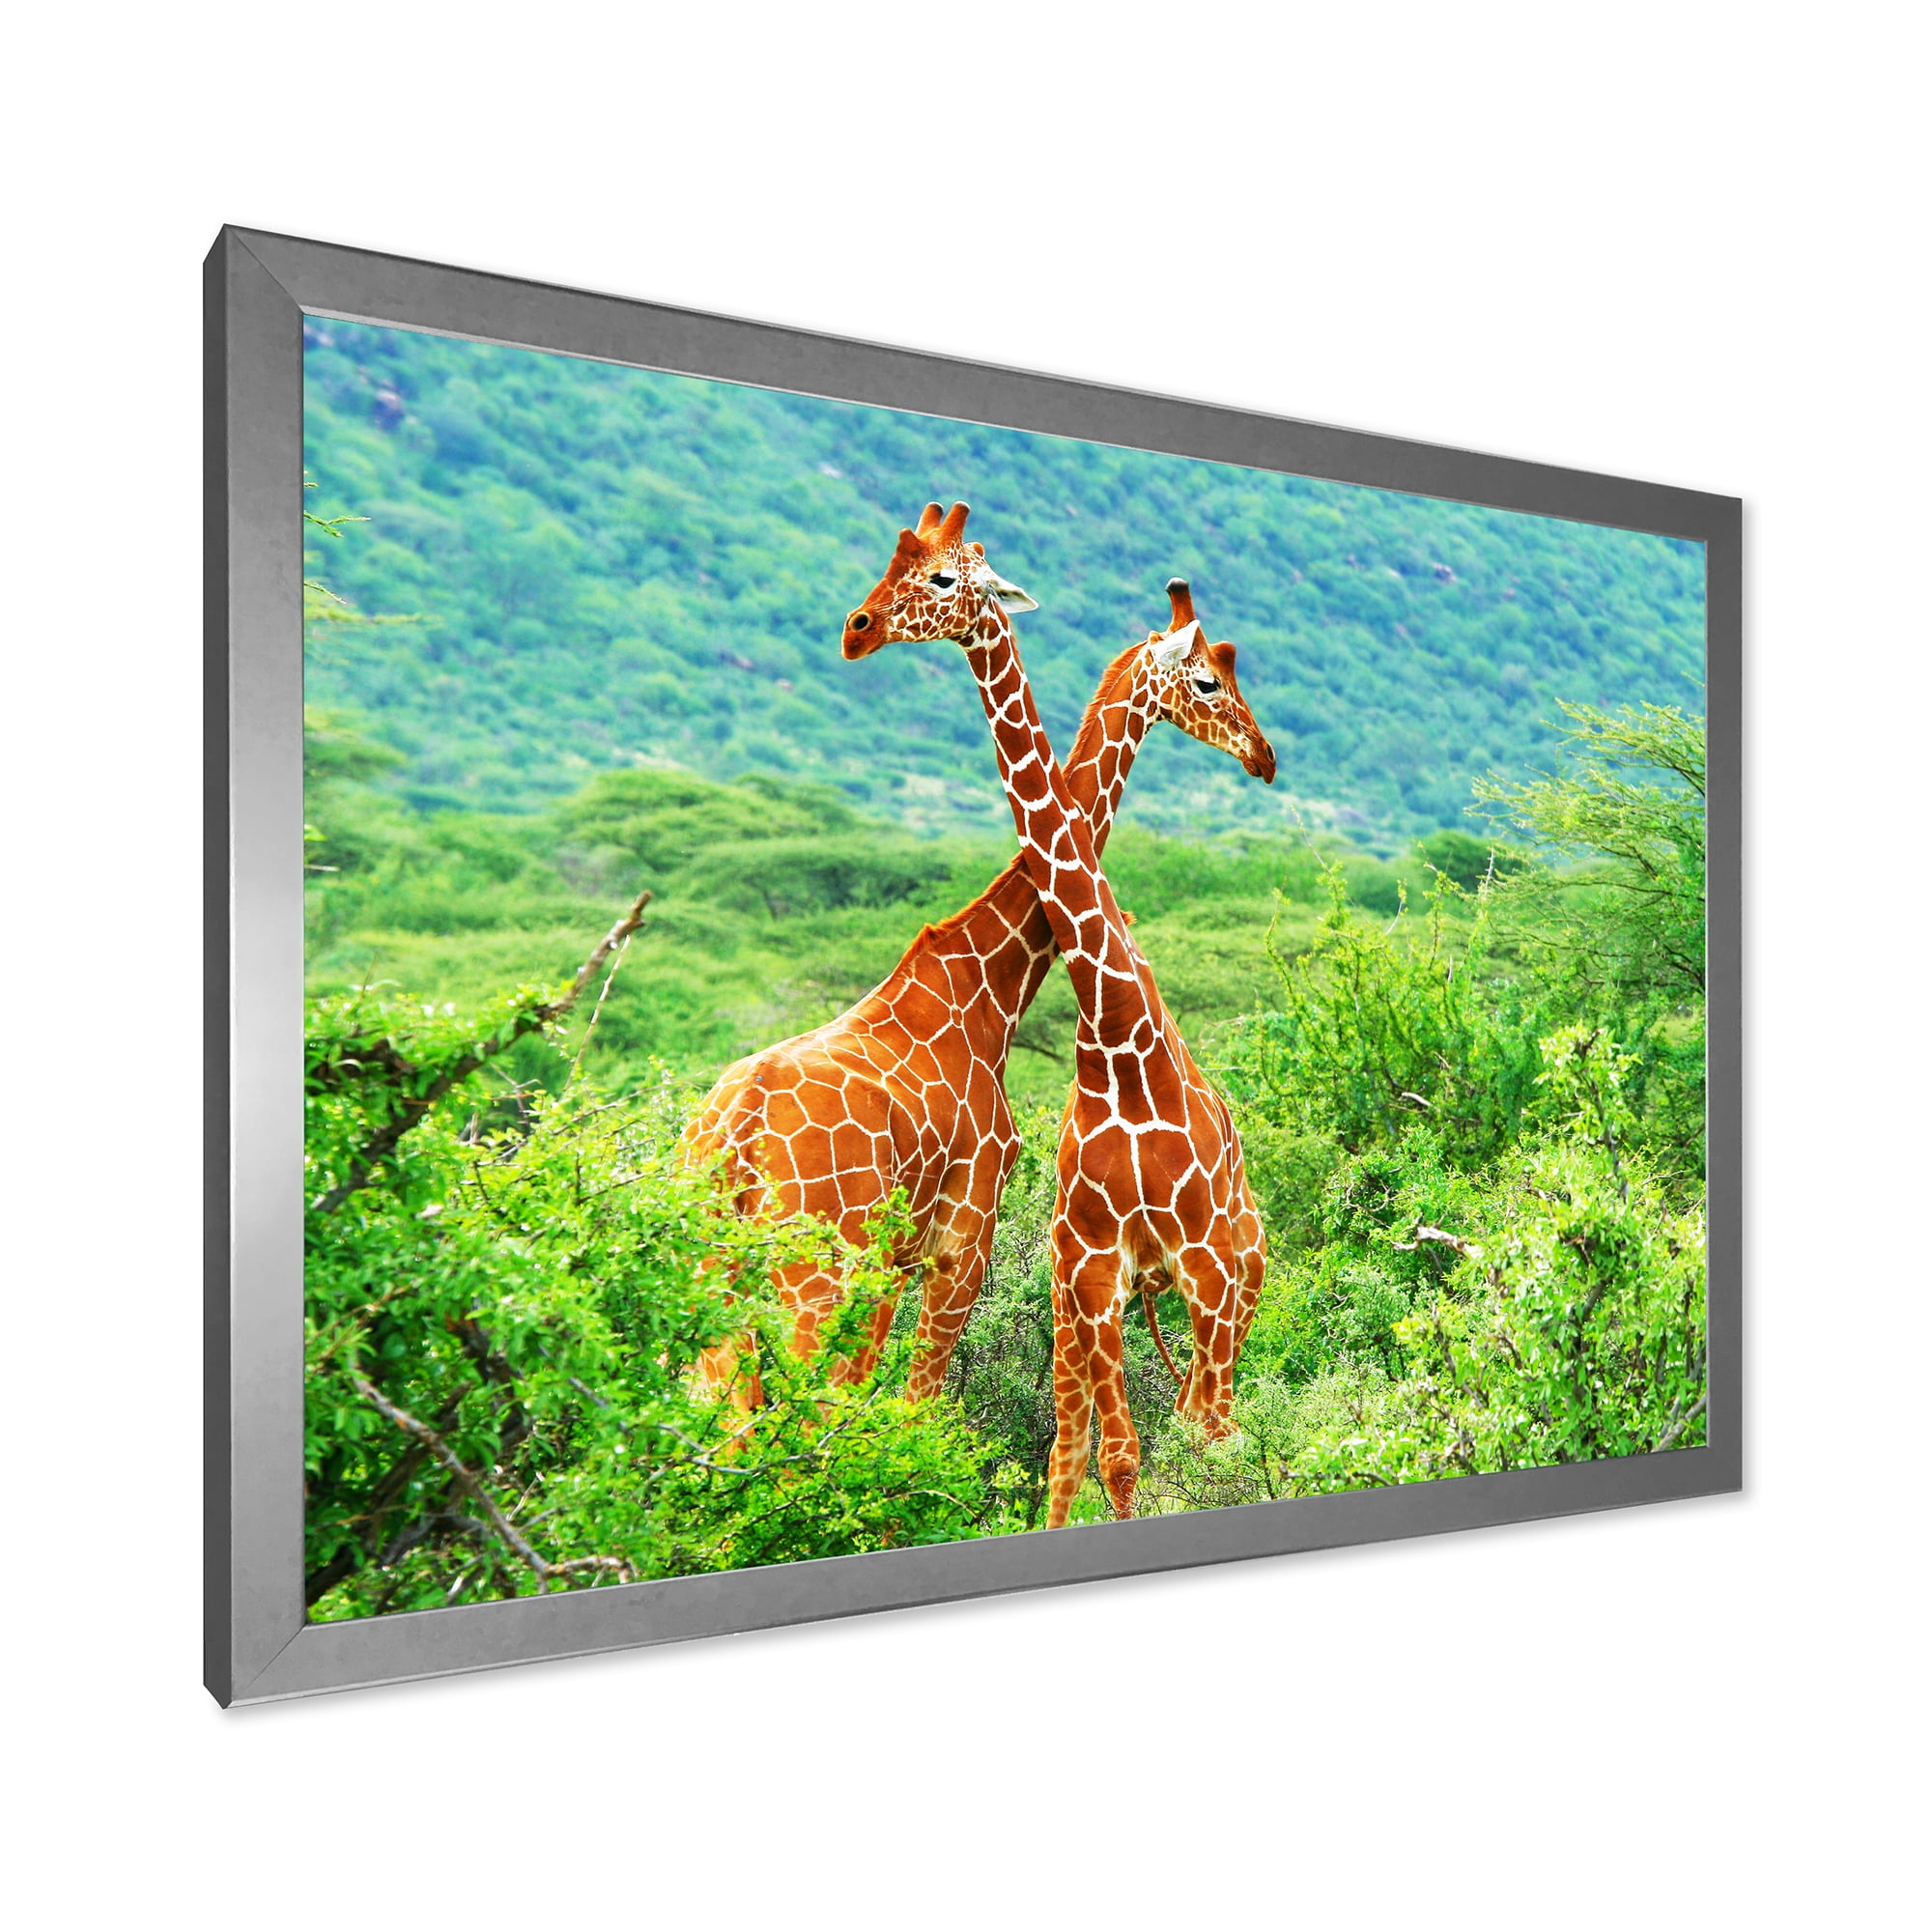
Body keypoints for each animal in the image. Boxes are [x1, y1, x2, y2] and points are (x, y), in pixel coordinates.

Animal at [686, 502, 1273, 1410]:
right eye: (1210, 680)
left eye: (935, 573)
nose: (1261, 754)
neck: (991, 982)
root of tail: (733, 1136)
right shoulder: (965, 1236)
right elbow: (910, 1405)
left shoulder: (902, 1257)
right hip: (812, 1270)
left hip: (714, 1271)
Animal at [842, 503, 1271, 1526]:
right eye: (1210, 678)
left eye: (942, 577)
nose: (1266, 757)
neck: (1118, 1043)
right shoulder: (1091, 1270)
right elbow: (1112, 1457)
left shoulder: (1200, 1267)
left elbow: (1190, 1443)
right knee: (1079, 1445)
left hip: (1237, 1280)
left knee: (1220, 1423)